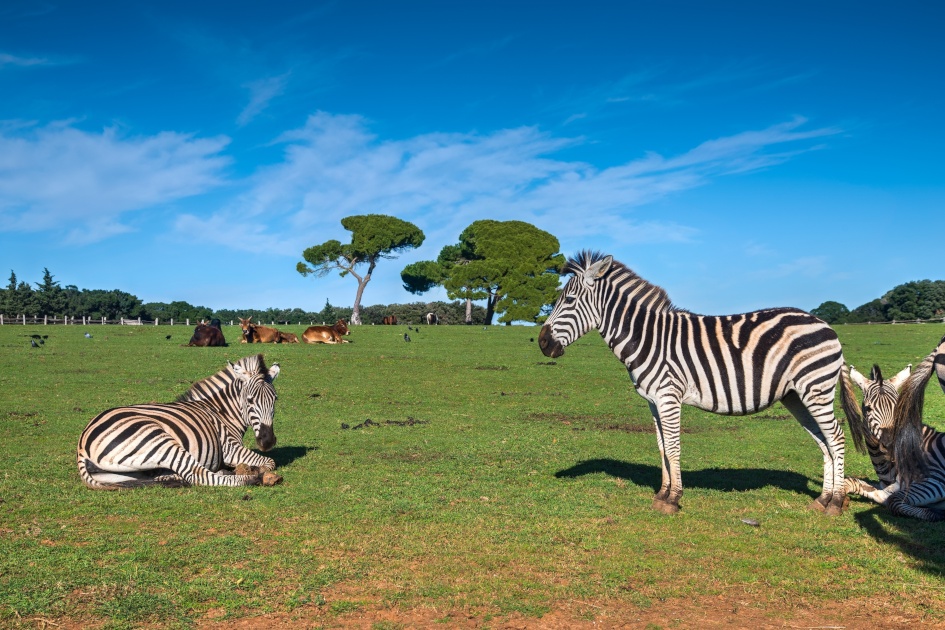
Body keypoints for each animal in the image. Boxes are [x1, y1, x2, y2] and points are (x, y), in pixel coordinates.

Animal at [79, 354, 278, 492]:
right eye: (250, 400)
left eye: (275, 399)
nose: (268, 441)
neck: (221, 412)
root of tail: (82, 443)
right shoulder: (230, 448)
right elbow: (269, 461)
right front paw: (256, 470)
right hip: (159, 440)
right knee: (198, 475)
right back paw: (254, 479)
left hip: (121, 472)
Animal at [540, 254, 848, 516]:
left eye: (569, 300)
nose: (542, 343)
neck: (646, 337)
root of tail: (824, 323)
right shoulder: (653, 401)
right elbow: (662, 447)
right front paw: (661, 494)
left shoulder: (668, 396)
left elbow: (674, 446)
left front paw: (673, 499)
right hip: (796, 395)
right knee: (824, 442)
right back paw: (822, 499)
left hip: (816, 389)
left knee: (836, 437)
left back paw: (835, 503)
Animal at [844, 340, 945, 524]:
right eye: (868, 408)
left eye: (899, 406)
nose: (891, 443)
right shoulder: (887, 488)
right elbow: (854, 483)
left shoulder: (936, 480)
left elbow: (894, 501)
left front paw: (937, 513)